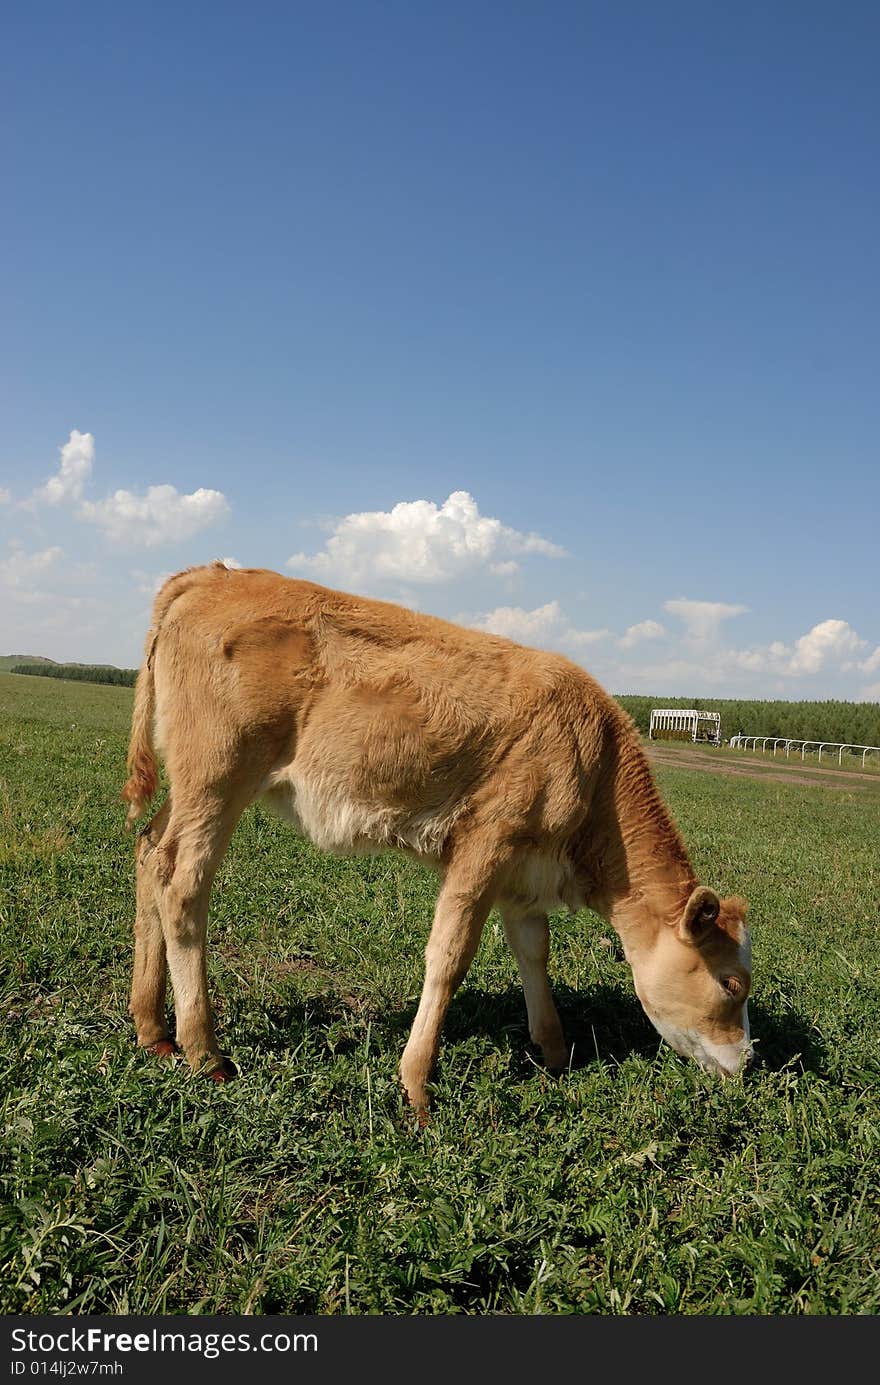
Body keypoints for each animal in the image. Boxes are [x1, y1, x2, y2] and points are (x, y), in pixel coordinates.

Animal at [124, 556, 753, 1108]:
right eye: (731, 985)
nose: (747, 1064)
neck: (594, 760)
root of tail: (211, 575)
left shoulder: (525, 868)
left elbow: (534, 952)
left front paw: (555, 1056)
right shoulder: (486, 841)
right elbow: (450, 955)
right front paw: (417, 1085)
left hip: (190, 784)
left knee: (151, 854)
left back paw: (153, 1029)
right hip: (219, 772)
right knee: (183, 884)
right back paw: (204, 1050)